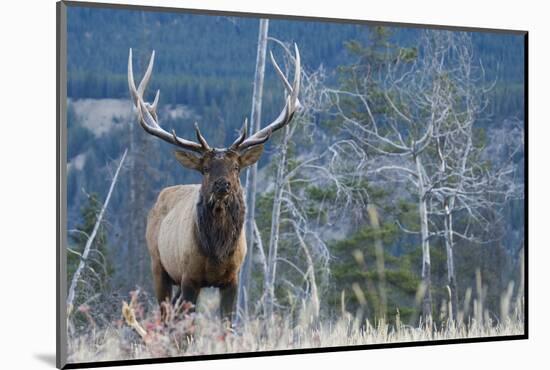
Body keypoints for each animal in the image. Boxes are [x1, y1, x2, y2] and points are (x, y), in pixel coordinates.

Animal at [129, 44, 302, 326]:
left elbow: (227, 326)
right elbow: (187, 328)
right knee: (165, 315)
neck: (217, 254)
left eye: (236, 167)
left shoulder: (232, 279)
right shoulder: (189, 277)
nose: (223, 185)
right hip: (158, 265)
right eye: (206, 168)